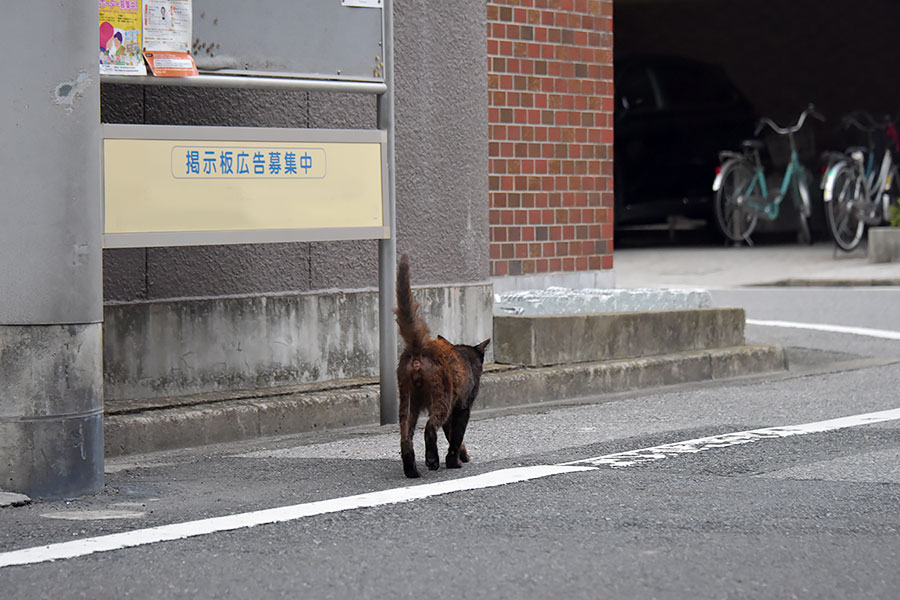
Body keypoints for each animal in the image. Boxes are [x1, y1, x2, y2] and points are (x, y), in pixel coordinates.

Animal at [396, 253, 492, 478]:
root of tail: (419, 346)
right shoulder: (462, 407)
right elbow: (456, 436)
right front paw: (454, 461)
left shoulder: (454, 410)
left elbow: (452, 435)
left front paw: (462, 455)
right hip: (442, 398)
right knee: (430, 428)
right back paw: (432, 460)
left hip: (407, 401)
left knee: (406, 436)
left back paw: (412, 469)